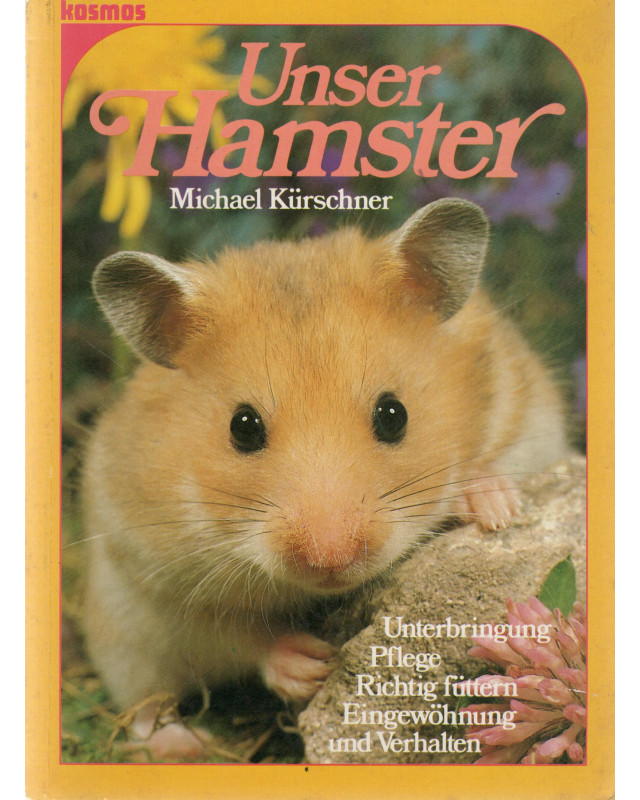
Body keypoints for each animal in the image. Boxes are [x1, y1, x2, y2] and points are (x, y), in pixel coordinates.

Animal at [81, 198, 567, 759]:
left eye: (394, 415)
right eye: (242, 427)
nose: (332, 560)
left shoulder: (527, 412)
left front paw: (494, 510)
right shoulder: (153, 573)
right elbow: (236, 633)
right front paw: (314, 666)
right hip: (122, 636)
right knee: (144, 707)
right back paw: (184, 744)